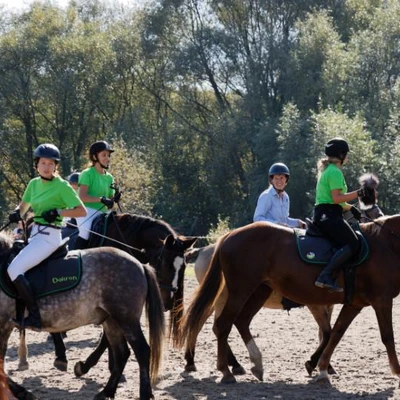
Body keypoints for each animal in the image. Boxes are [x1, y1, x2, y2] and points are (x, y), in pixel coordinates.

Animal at [0, 233, 165, 398]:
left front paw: (23, 392)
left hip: (126, 319)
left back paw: (144, 393)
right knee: (122, 353)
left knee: (142, 351)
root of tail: (140, 265)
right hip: (112, 321)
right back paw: (106, 392)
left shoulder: (4, 325)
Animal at [18, 214, 197, 374]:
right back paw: (60, 353)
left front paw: (96, 365)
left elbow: (107, 337)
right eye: (166, 264)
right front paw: (91, 365)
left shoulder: (113, 305)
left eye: (183, 267)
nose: (167, 303)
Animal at [180, 214, 400, 386]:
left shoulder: (353, 303)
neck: (383, 244)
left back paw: (253, 364)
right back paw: (224, 370)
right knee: (220, 325)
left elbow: (335, 334)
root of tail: (226, 237)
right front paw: (397, 370)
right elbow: (386, 336)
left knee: (239, 321)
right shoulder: (380, 300)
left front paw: (322, 368)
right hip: (238, 292)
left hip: (258, 291)